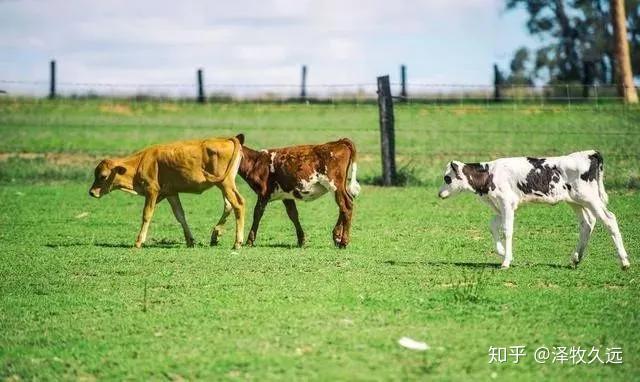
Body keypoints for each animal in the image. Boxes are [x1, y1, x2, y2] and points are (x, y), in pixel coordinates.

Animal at [91, 134, 246, 248]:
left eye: (103, 176)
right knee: (229, 205)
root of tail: (226, 139)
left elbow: (147, 214)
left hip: (225, 184)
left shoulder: (151, 191)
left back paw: (237, 243)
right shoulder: (171, 193)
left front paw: (139, 241)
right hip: (225, 184)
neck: (141, 162)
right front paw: (190, 240)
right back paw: (216, 235)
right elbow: (180, 216)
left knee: (238, 204)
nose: (92, 192)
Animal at [210, 139, 360, 249]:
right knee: (344, 205)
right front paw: (301, 240)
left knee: (346, 205)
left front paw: (249, 241)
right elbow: (293, 215)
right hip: (338, 187)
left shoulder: (263, 194)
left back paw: (343, 241)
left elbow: (257, 214)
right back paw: (337, 236)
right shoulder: (286, 195)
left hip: (335, 184)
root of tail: (339, 142)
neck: (256, 162)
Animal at [436, 151, 632, 270]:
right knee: (587, 223)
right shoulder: (502, 206)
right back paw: (576, 258)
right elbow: (492, 226)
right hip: (576, 201)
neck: (489, 175)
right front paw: (502, 252)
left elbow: (507, 230)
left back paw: (624, 261)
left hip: (591, 198)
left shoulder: (506, 203)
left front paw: (506, 261)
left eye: (447, 178)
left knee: (609, 219)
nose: (439, 193)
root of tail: (589, 153)